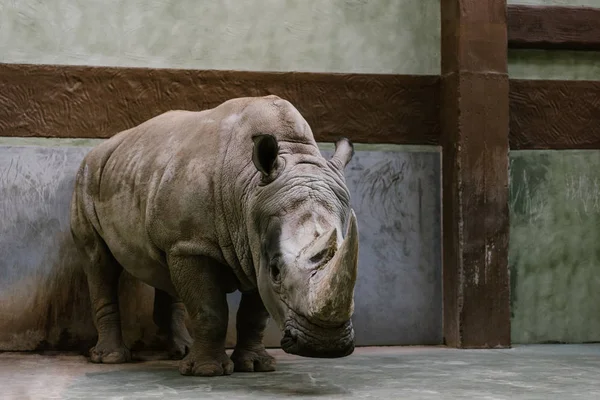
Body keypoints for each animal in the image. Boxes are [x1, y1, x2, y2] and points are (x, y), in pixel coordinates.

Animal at [70, 95, 360, 376]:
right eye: (277, 271)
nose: (325, 345)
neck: (249, 190)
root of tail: (103, 147)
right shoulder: (195, 245)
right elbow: (210, 309)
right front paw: (207, 371)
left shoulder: (253, 245)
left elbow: (253, 314)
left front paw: (255, 366)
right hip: (87, 176)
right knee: (99, 261)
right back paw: (110, 358)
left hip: (150, 173)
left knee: (164, 266)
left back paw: (182, 350)